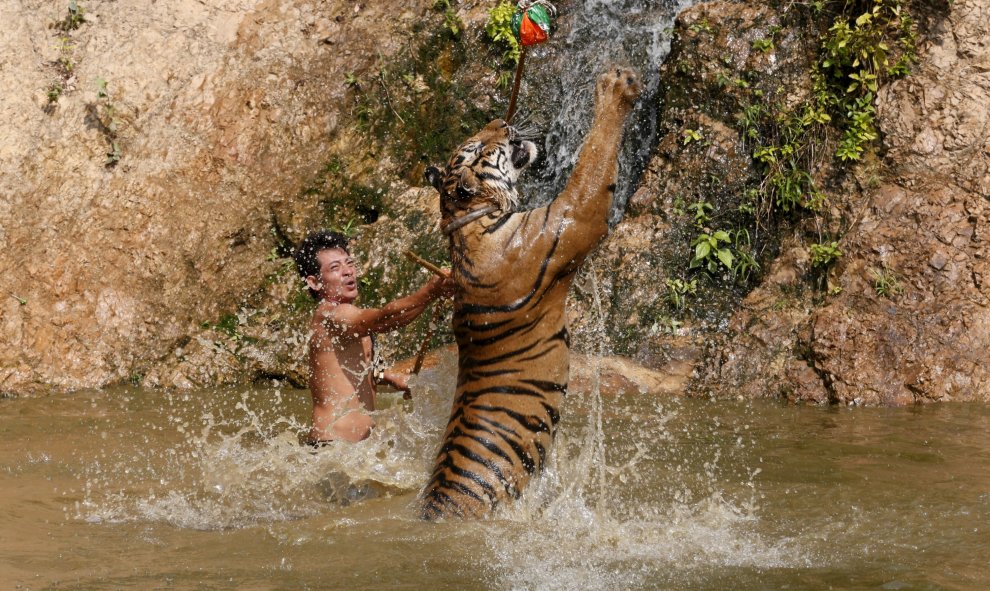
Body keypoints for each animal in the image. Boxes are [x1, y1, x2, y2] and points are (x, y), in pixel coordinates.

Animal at [418, 67, 644, 520]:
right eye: (479, 146)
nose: (500, 121)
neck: (468, 224)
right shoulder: (572, 217)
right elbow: (593, 163)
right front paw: (614, 88)